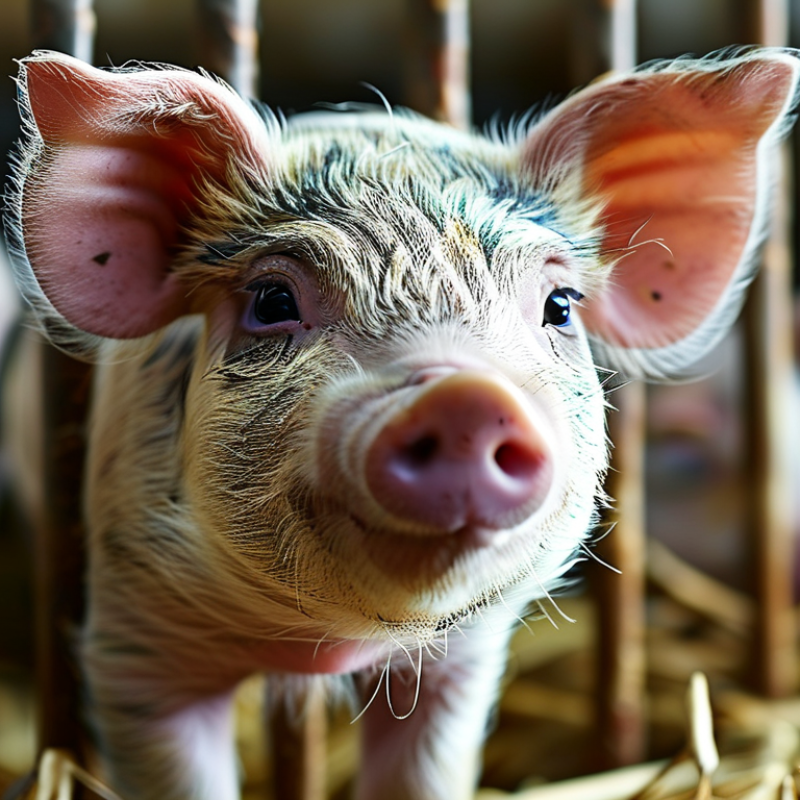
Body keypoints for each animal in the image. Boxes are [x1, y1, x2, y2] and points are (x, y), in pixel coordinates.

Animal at [3, 47, 799, 800]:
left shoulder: (463, 658)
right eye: (271, 299)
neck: (322, 648)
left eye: (560, 306)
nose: (467, 398)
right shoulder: (134, 639)